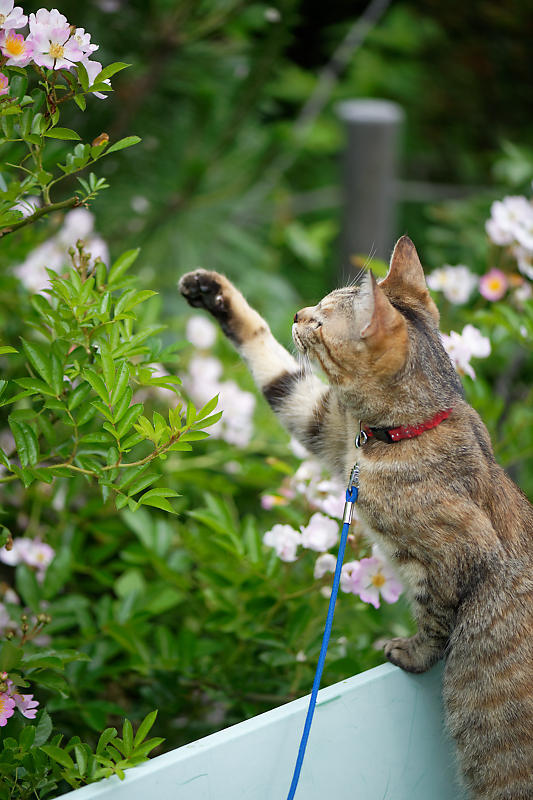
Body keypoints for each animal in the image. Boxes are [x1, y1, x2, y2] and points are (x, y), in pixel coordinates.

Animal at [179, 238, 532, 800]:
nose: (298, 314)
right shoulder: (327, 424)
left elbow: (436, 619)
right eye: (317, 304)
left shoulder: (462, 555)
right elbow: (275, 367)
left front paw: (409, 651)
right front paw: (213, 292)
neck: (396, 434)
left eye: (322, 320)